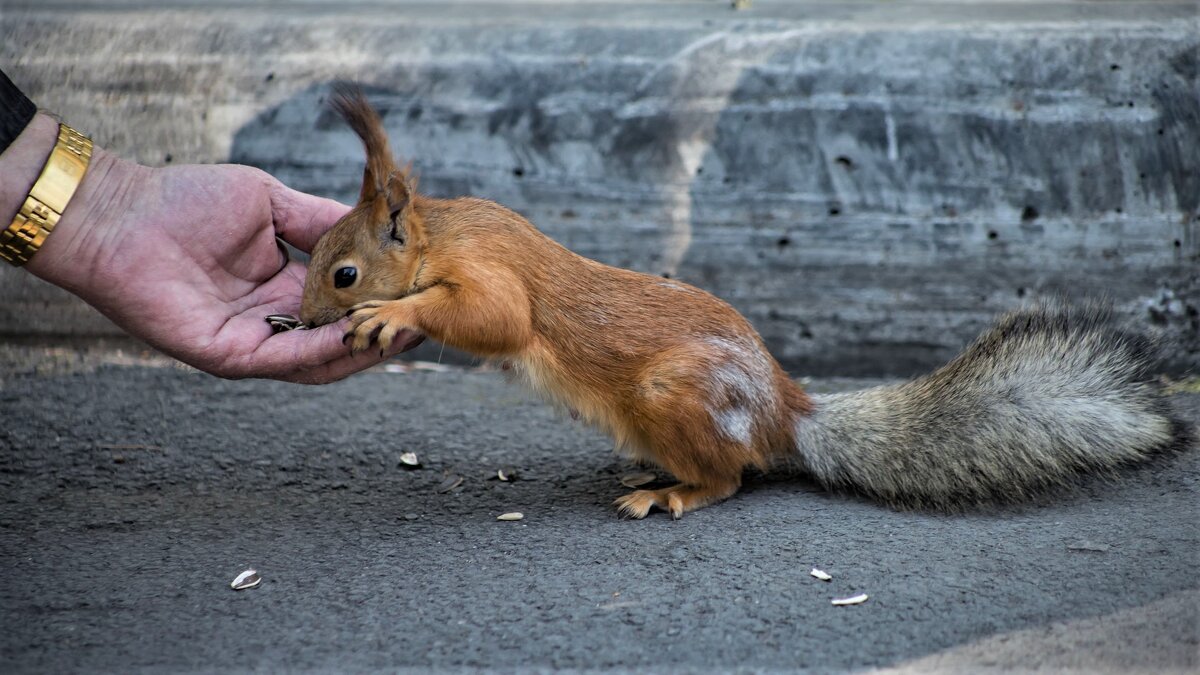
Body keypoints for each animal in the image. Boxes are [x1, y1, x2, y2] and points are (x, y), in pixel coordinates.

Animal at [297, 84, 1190, 514]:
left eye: (343, 274)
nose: (302, 318)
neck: (440, 234)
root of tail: (787, 415)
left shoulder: (492, 270)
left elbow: (497, 317)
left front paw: (393, 314)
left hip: (677, 393)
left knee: (730, 480)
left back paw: (670, 492)